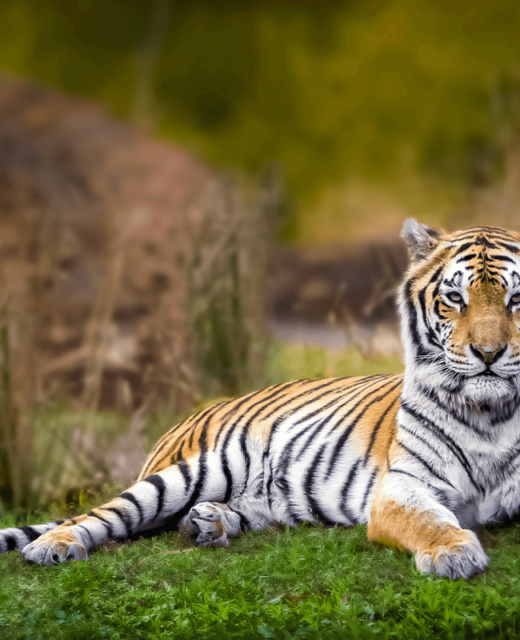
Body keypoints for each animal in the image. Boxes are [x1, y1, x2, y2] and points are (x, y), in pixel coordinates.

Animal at [2, 218, 520, 580]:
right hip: (195, 470)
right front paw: (453, 553)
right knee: (109, 514)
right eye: (455, 298)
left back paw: (208, 523)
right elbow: (429, 520)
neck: (491, 416)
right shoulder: (402, 486)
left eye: (515, 300)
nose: (488, 353)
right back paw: (53, 546)